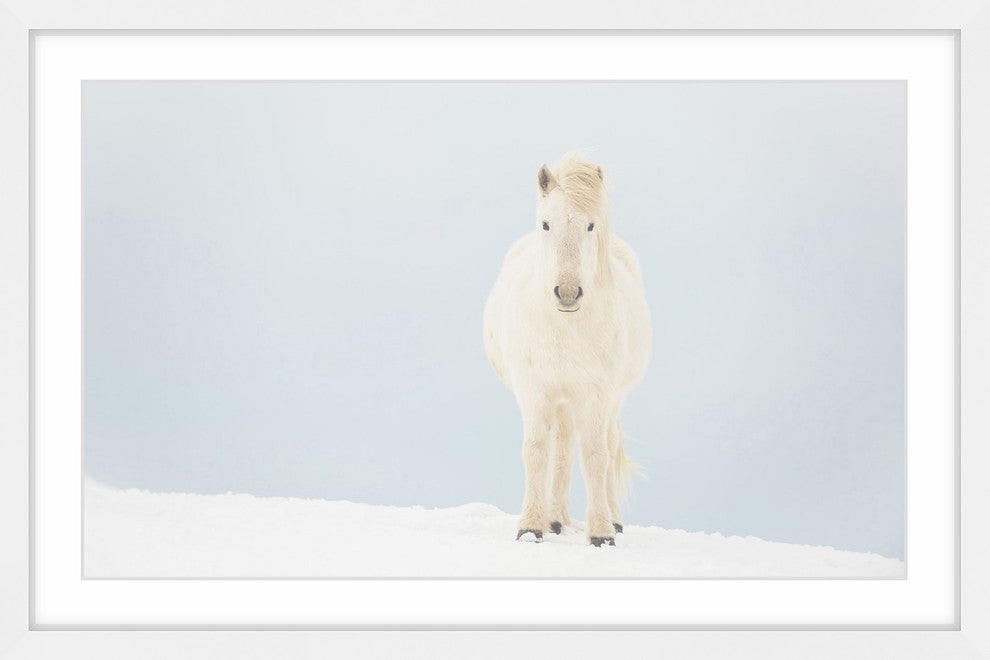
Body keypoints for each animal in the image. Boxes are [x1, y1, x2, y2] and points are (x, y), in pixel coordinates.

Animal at [483, 152, 652, 547]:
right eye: (546, 224)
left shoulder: (597, 394)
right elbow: (536, 451)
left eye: (591, 225)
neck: (564, 327)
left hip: (608, 400)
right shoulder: (534, 390)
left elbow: (595, 456)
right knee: (560, 447)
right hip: (560, 400)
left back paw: (609, 520)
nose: (568, 292)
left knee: (605, 444)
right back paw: (555, 519)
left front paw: (602, 533)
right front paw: (531, 527)